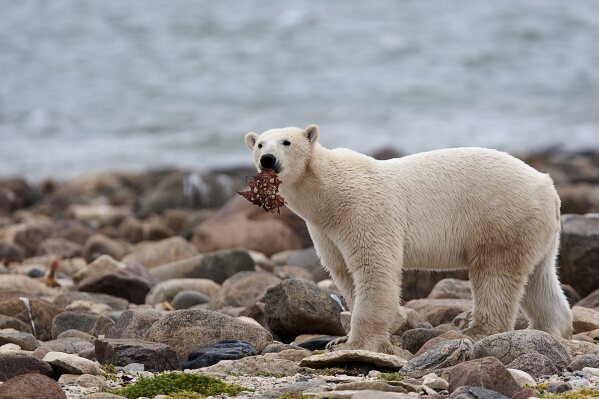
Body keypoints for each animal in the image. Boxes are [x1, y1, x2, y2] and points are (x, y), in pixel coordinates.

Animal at [245, 126, 576, 356]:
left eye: (286, 142)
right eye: (260, 144)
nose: (268, 160)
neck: (329, 193)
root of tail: (548, 186)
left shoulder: (363, 210)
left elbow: (374, 266)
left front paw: (356, 343)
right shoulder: (324, 230)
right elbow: (343, 272)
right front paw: (340, 339)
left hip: (501, 215)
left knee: (496, 272)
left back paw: (478, 331)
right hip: (535, 229)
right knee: (540, 278)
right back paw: (550, 330)